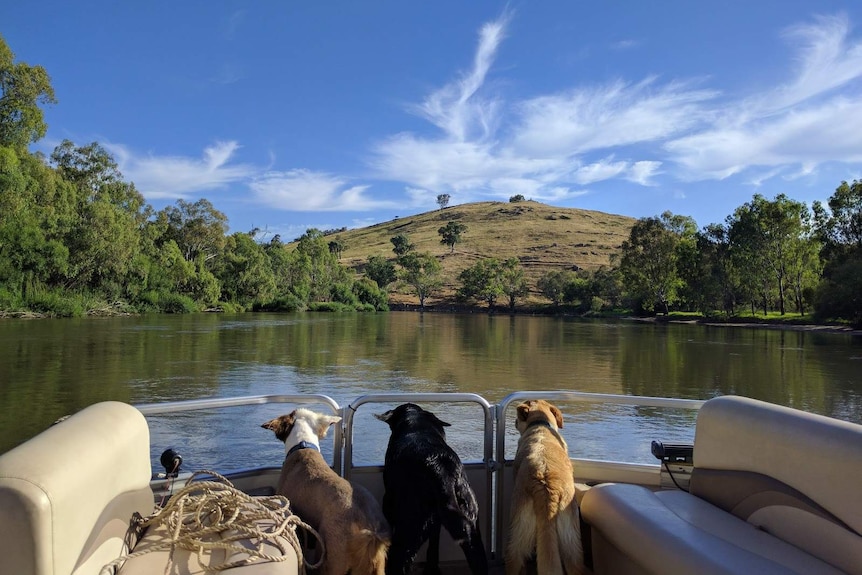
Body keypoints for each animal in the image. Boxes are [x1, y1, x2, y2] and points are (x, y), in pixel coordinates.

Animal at [374, 404, 490, 575]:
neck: (417, 424)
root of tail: (441, 470)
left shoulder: (388, 503)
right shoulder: (437, 524)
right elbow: (434, 546)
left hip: (411, 526)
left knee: (399, 561)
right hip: (471, 523)